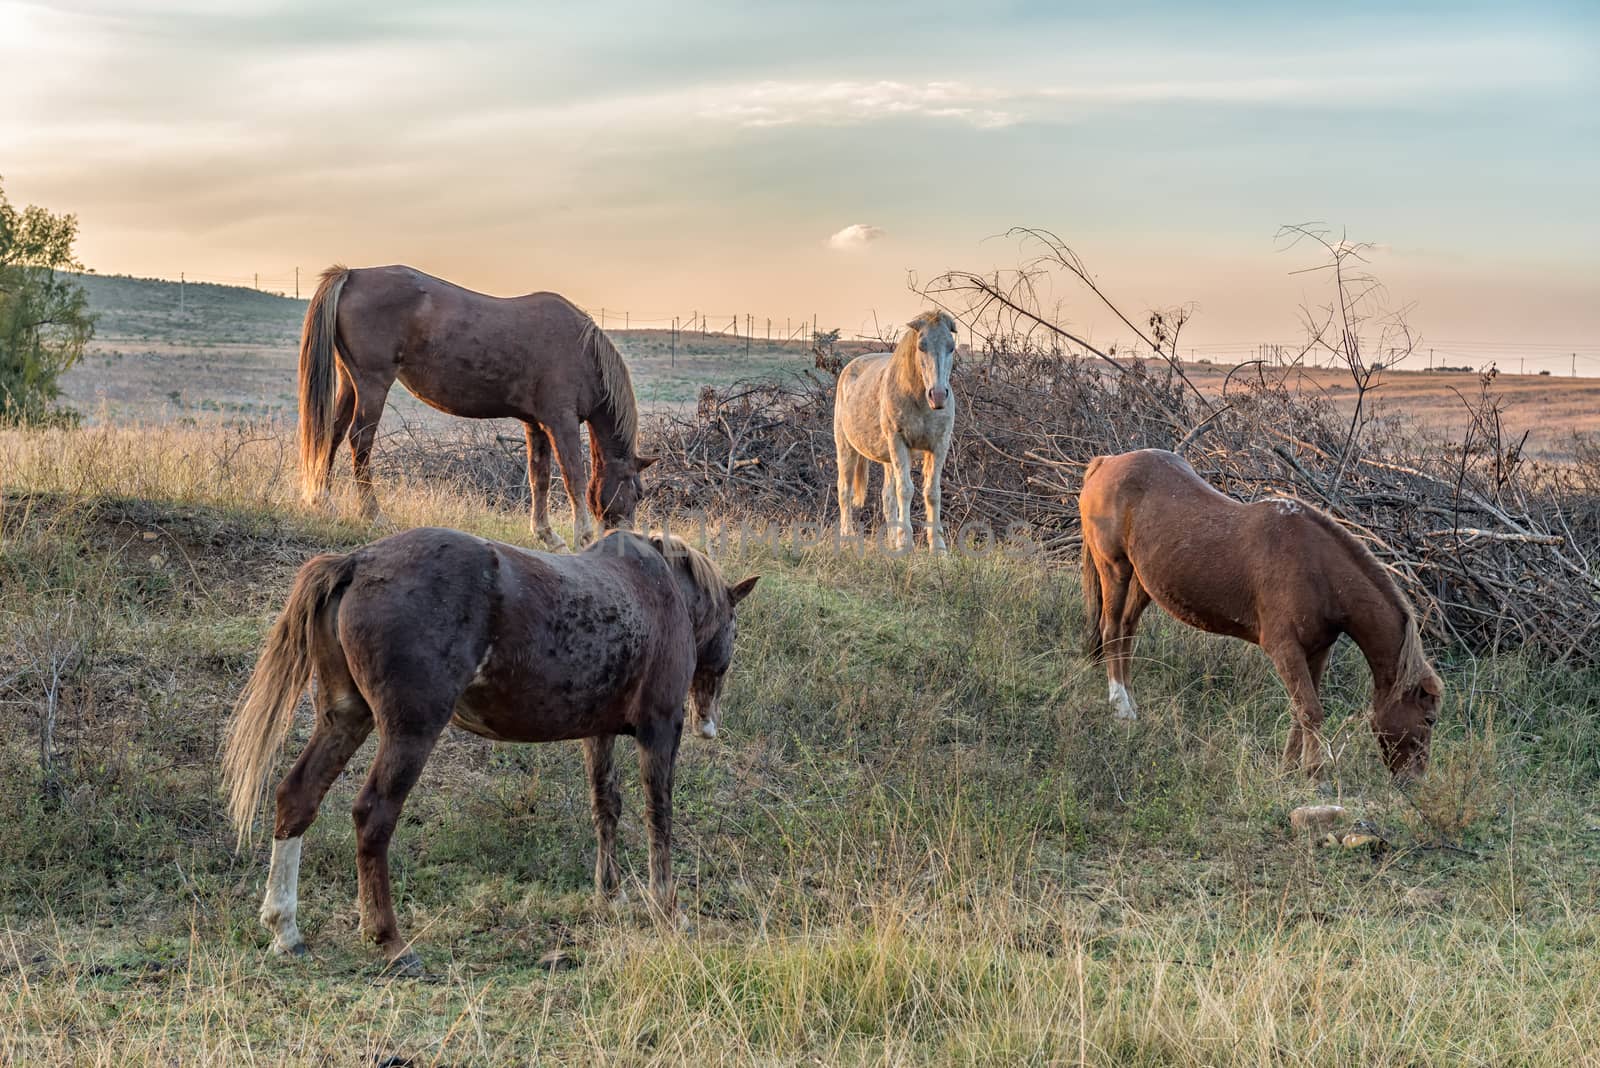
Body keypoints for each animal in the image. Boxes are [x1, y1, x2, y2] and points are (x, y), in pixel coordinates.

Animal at [220, 524, 761, 978]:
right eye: (733, 624)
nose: (709, 721)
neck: (653, 591)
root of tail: (358, 561)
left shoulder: (599, 734)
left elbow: (606, 806)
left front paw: (610, 895)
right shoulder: (660, 730)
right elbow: (658, 816)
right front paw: (666, 907)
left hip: (346, 718)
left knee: (298, 797)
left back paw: (286, 930)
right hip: (409, 732)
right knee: (373, 816)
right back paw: (391, 941)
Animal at [297, 267, 652, 549]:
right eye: (637, 494)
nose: (626, 540)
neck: (582, 351)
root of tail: (352, 274)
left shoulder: (535, 424)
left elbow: (538, 478)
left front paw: (547, 535)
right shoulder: (560, 422)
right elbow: (573, 478)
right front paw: (583, 538)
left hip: (349, 383)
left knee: (333, 434)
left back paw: (323, 502)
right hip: (372, 385)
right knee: (360, 442)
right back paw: (372, 514)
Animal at [832, 310, 953, 549]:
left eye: (951, 347)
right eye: (921, 346)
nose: (938, 395)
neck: (919, 400)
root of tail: (850, 368)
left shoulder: (939, 445)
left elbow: (932, 492)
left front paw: (938, 548)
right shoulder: (899, 442)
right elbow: (905, 490)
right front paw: (906, 544)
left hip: (888, 458)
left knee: (887, 498)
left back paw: (890, 543)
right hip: (846, 447)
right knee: (845, 491)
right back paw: (847, 539)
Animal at [1081, 447, 1446, 780]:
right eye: (1429, 719)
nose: (1415, 780)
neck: (1319, 571)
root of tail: (1106, 462)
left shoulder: (1316, 651)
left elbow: (1302, 710)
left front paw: (1290, 769)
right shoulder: (1284, 649)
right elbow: (1311, 711)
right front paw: (1315, 774)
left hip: (1144, 582)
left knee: (1126, 633)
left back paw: (1131, 703)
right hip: (1115, 569)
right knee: (1112, 631)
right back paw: (1121, 707)